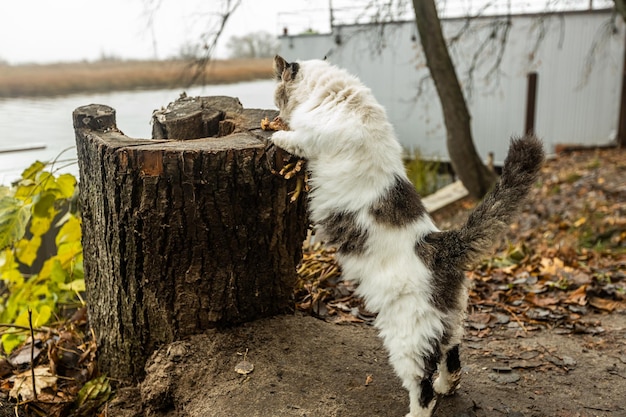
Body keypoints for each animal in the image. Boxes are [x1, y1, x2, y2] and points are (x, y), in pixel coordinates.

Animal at [270, 55, 544, 416]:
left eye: (277, 93)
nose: (274, 111)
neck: (340, 97)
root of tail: (443, 245)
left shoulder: (310, 141)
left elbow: (292, 138)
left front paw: (275, 134)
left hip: (407, 337)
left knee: (422, 385)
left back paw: (418, 408)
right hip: (451, 319)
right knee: (452, 354)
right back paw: (447, 385)